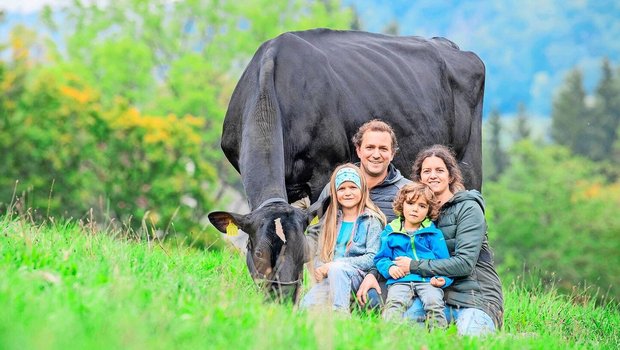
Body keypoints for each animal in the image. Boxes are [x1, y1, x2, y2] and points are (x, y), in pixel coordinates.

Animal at [208, 29, 484, 304]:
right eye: (259, 254)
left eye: (302, 254)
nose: (283, 300)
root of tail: (447, 44)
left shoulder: (324, 171)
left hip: (469, 164)